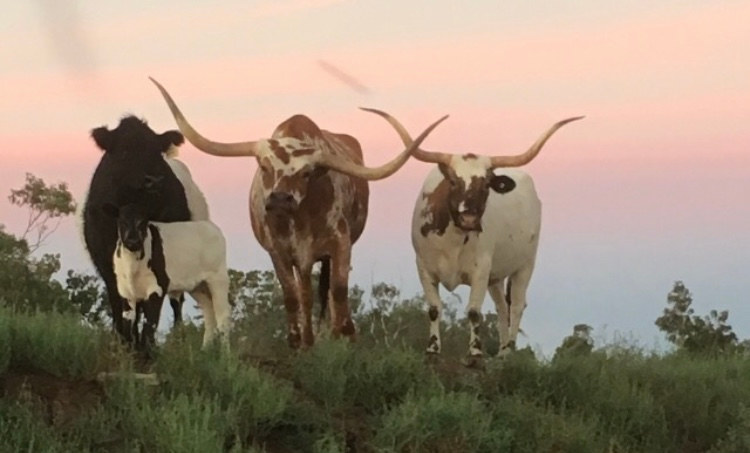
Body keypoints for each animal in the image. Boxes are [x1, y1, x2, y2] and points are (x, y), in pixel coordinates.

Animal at [81, 115, 209, 349]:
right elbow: (120, 303)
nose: (155, 180)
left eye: (157, 150)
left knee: (176, 301)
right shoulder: (107, 263)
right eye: (124, 150)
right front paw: (123, 343)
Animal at [150, 77, 447, 348]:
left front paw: (344, 336)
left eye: (306, 173)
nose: (281, 199)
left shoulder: (339, 244)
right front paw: (297, 342)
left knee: (325, 291)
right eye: (264, 167)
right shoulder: (278, 250)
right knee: (305, 293)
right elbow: (292, 295)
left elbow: (338, 291)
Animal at [363, 108, 583, 358]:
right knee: (501, 307)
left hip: (525, 265)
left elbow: (474, 312)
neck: (452, 241)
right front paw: (433, 349)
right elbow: (434, 308)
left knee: (517, 305)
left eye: (486, 184)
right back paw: (502, 351)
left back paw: (510, 351)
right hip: (496, 275)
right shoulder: (424, 267)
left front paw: (475, 353)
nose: (469, 218)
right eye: (452, 181)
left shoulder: (481, 269)